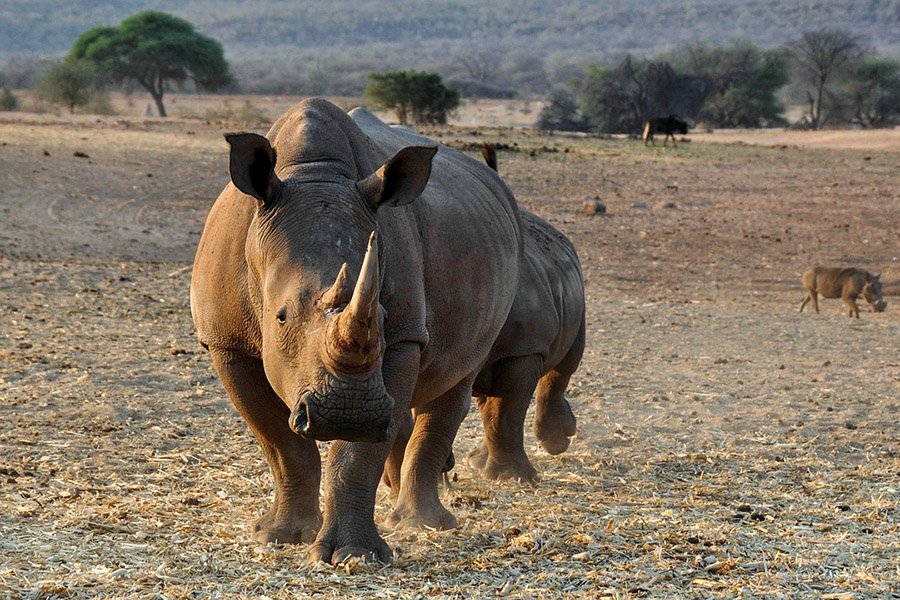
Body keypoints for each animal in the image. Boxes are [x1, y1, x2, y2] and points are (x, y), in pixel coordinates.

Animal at [193, 97, 524, 564]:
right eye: (281, 317)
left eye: (382, 318)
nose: (349, 413)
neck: (314, 174)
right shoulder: (226, 342)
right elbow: (280, 442)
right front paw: (281, 535)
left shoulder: (403, 335)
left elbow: (357, 454)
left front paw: (355, 555)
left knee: (455, 380)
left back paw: (422, 523)